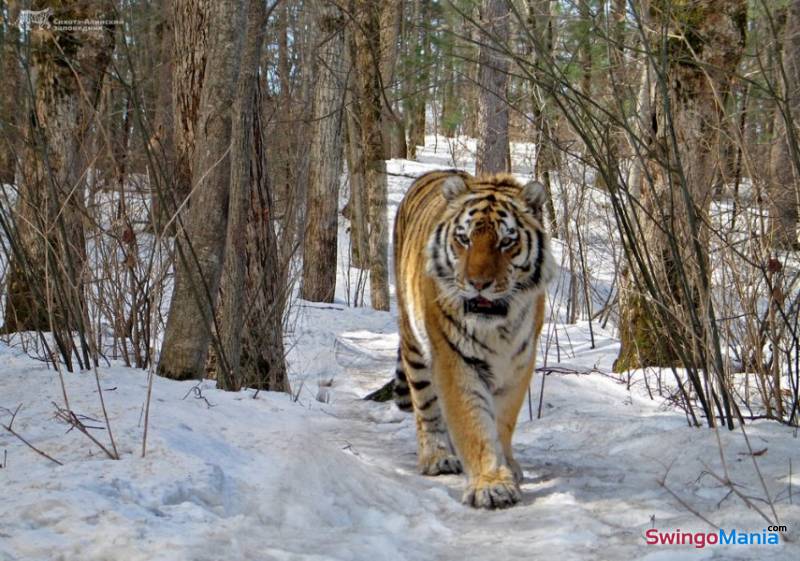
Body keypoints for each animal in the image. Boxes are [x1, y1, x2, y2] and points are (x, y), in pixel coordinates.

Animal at [390, 168, 552, 510]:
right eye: (464, 239)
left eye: (507, 241)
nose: (479, 283)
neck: (498, 328)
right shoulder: (455, 359)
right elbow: (473, 422)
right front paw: (491, 485)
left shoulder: (519, 362)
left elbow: (502, 421)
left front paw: (507, 466)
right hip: (413, 343)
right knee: (426, 406)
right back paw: (437, 457)